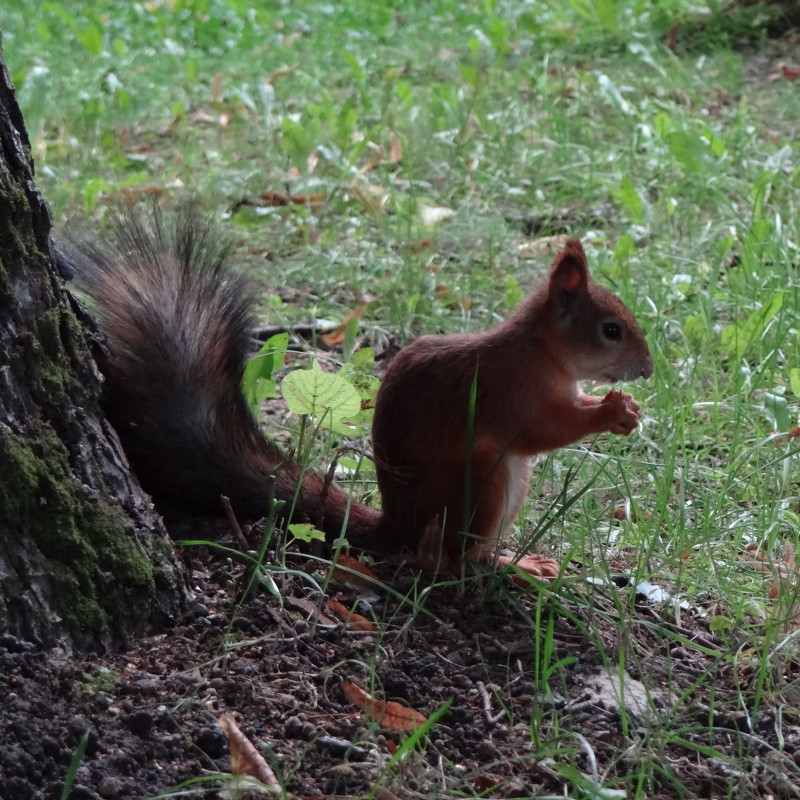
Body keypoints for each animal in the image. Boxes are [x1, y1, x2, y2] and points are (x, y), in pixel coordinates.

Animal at [62, 209, 648, 580]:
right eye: (611, 330)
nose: (646, 368)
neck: (543, 350)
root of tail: (398, 528)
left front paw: (626, 409)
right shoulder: (507, 389)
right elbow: (541, 429)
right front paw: (612, 411)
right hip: (483, 482)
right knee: (456, 559)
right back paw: (511, 565)